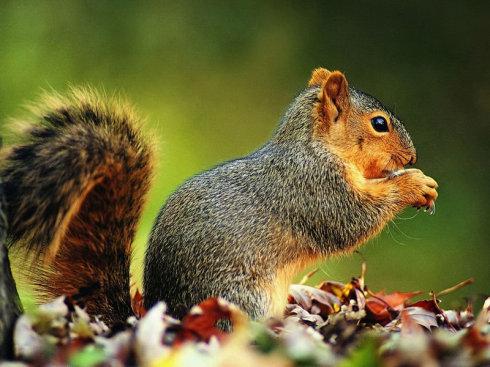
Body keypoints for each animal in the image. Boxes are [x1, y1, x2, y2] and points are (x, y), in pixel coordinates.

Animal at [0, 69, 436, 328]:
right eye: (379, 124)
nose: (412, 156)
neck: (313, 145)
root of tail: (167, 313)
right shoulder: (314, 187)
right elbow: (351, 220)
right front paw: (414, 185)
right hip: (242, 299)